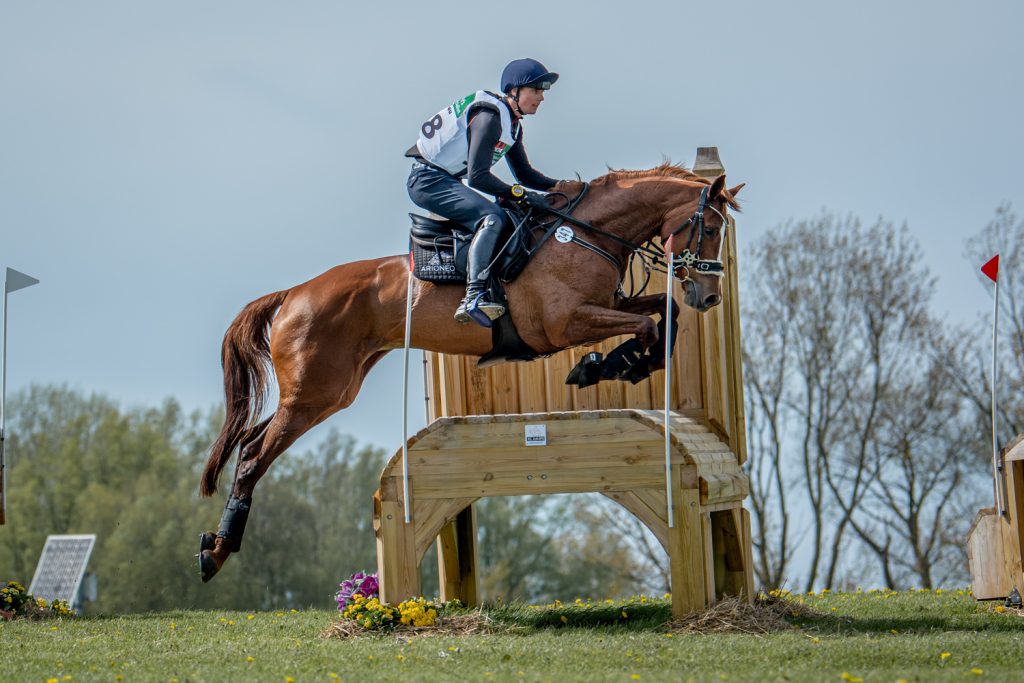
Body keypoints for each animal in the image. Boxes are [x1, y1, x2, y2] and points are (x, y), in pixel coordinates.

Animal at [196, 163, 743, 581]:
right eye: (711, 229)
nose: (709, 297)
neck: (586, 235)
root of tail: (294, 292)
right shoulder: (565, 323)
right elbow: (648, 326)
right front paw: (602, 366)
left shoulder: (608, 306)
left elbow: (663, 315)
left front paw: (623, 363)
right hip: (314, 393)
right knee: (253, 459)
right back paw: (215, 552)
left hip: (324, 393)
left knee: (250, 443)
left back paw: (216, 546)